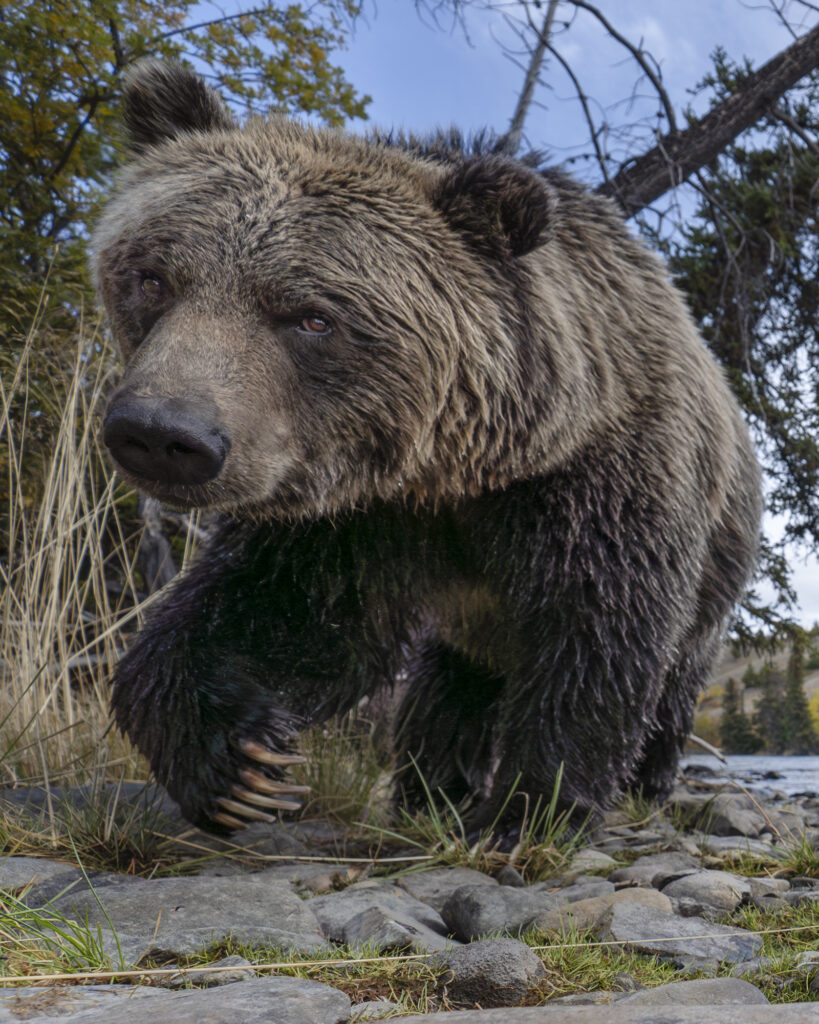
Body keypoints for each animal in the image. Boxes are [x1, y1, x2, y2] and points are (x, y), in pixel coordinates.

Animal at [91, 60, 762, 835]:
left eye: (312, 316)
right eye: (152, 277)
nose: (162, 433)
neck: (460, 470)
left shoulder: (598, 479)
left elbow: (595, 633)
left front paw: (530, 808)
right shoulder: (361, 517)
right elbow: (292, 611)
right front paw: (238, 764)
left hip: (719, 563)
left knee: (675, 674)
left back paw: (643, 781)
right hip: (474, 624)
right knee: (456, 677)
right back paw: (432, 783)